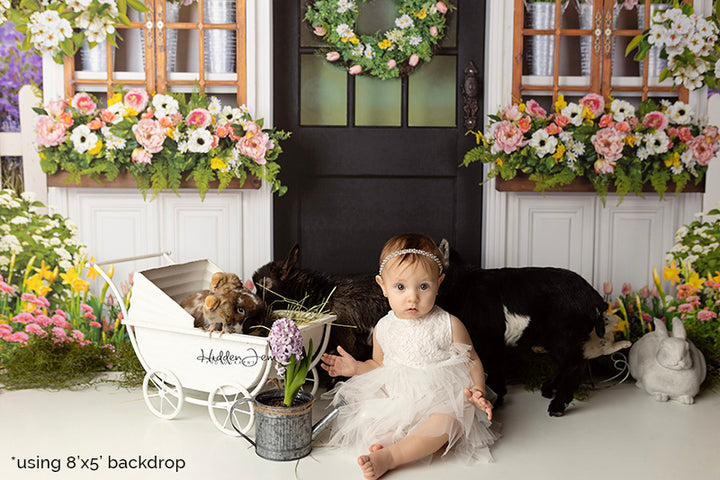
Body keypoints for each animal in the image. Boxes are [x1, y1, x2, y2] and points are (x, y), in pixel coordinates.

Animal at [434, 242, 608, 414]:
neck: (463, 286)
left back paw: (557, 406)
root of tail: (596, 299)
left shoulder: (490, 340)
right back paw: (548, 389)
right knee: (565, 364)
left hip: (564, 336)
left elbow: (493, 368)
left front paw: (494, 401)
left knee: (573, 366)